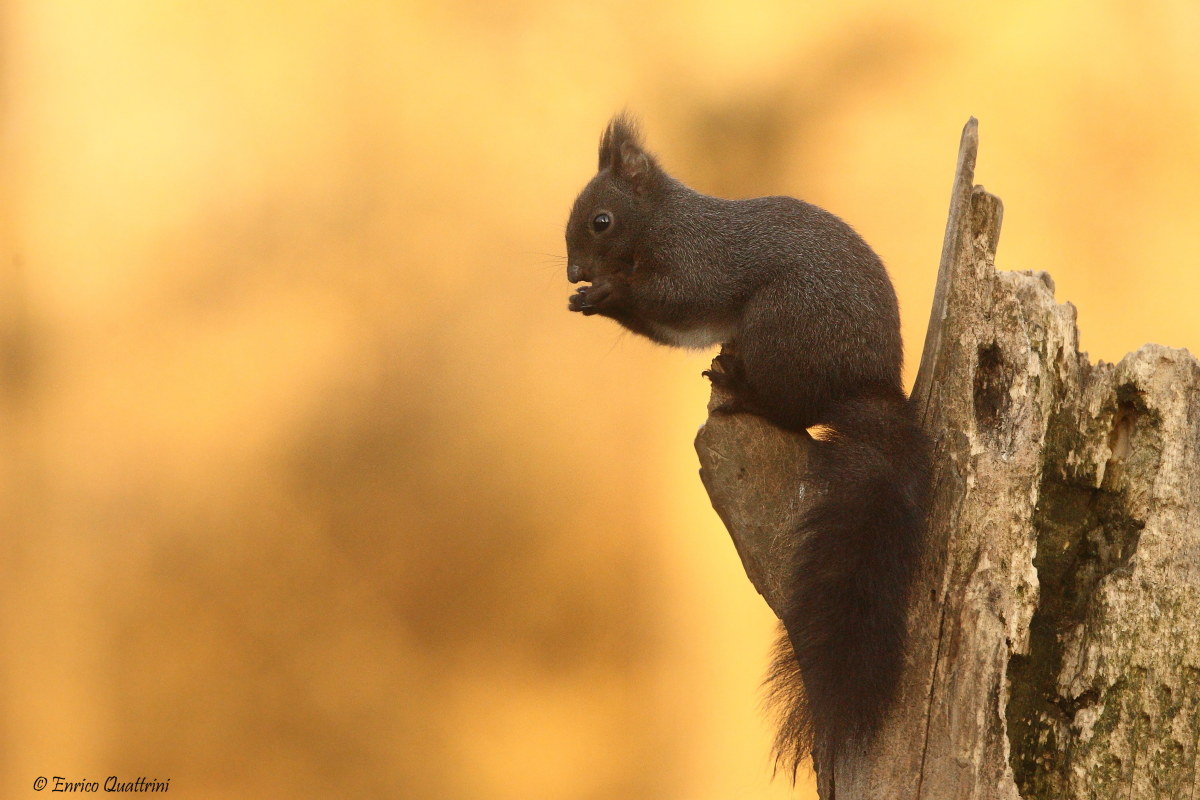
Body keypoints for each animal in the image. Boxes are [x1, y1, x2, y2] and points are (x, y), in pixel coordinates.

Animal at [564, 114, 931, 774]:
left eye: (601, 220)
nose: (574, 273)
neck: (665, 224)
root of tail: (869, 389)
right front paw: (591, 299)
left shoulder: (700, 267)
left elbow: (669, 302)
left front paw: (610, 293)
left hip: (779, 326)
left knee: (790, 409)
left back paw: (744, 393)